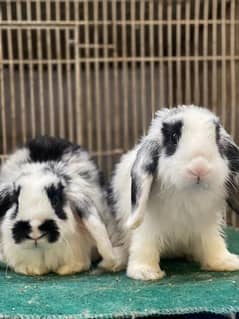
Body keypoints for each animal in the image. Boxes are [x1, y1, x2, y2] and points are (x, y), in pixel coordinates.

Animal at [110, 106, 239, 282]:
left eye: (217, 138)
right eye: (173, 137)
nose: (200, 167)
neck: (187, 194)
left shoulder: (208, 224)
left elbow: (213, 243)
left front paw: (225, 262)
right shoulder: (147, 226)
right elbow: (144, 245)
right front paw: (145, 272)